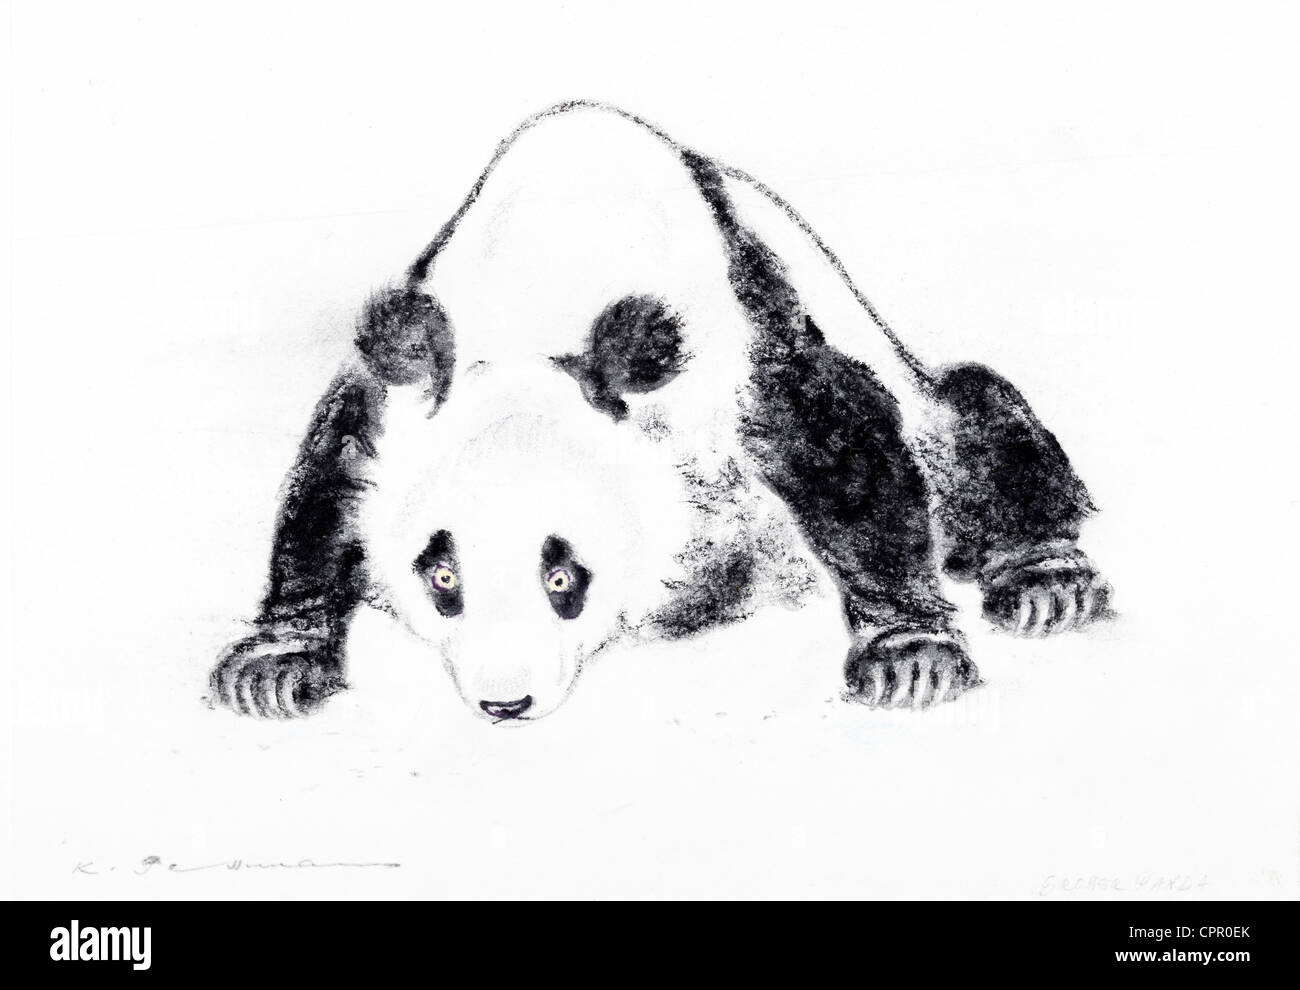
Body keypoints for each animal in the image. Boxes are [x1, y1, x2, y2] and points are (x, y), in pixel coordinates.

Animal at [210, 100, 1111, 723]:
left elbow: (841, 454)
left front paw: (911, 655)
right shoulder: (399, 388)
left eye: (563, 575)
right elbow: (329, 482)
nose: (505, 703)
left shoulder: (737, 347)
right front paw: (274, 663)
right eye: (441, 576)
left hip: (921, 403)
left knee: (972, 424)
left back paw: (1044, 577)